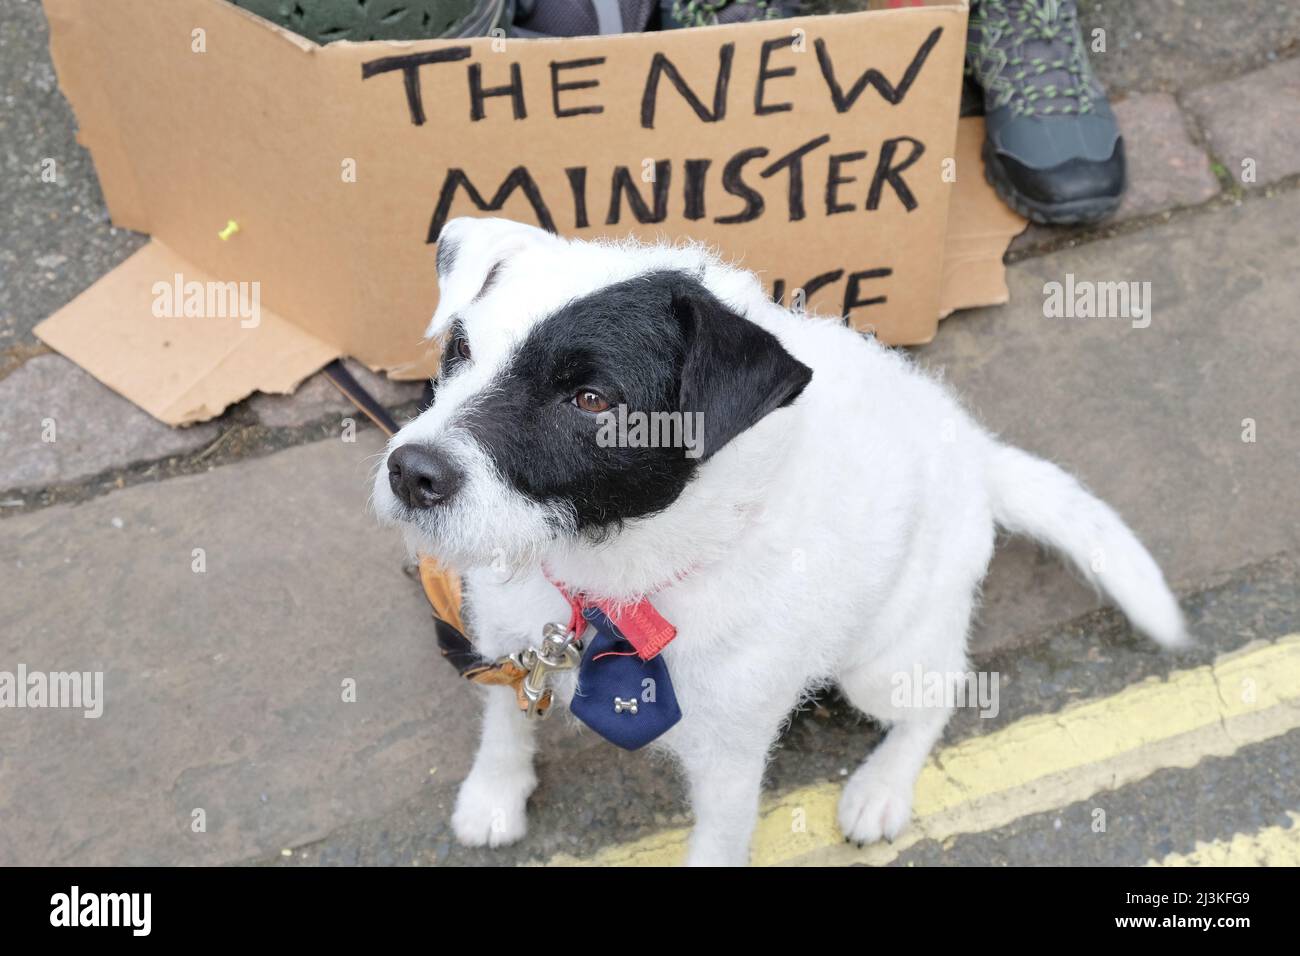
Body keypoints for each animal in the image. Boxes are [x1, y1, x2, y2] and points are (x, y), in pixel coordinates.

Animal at [369, 217, 1190, 868]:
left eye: (592, 400)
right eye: (459, 349)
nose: (411, 472)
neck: (614, 577)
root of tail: (977, 455)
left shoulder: (729, 762)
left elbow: (718, 845)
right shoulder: (509, 647)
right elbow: (506, 721)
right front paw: (494, 796)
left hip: (883, 662)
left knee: (939, 697)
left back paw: (882, 788)